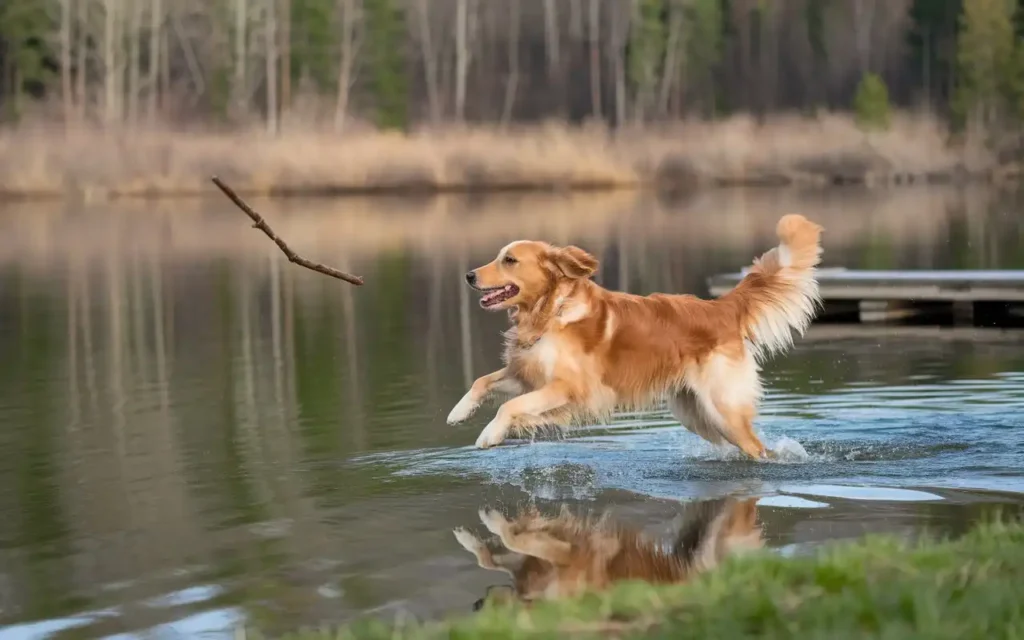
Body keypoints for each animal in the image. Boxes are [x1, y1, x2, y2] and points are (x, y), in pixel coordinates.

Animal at [448, 211, 823, 456]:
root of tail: (721, 307)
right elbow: (483, 381)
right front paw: (459, 412)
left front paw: (490, 434)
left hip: (723, 409)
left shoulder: (568, 387)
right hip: (698, 415)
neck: (550, 310)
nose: (468, 275)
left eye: (509, 260)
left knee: (759, 449)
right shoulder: (528, 374)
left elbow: (508, 407)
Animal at [454, 497, 761, 606]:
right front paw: (472, 537)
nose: (476, 604)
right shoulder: (536, 566)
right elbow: (493, 558)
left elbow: (512, 540)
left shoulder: (572, 552)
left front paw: (493, 521)